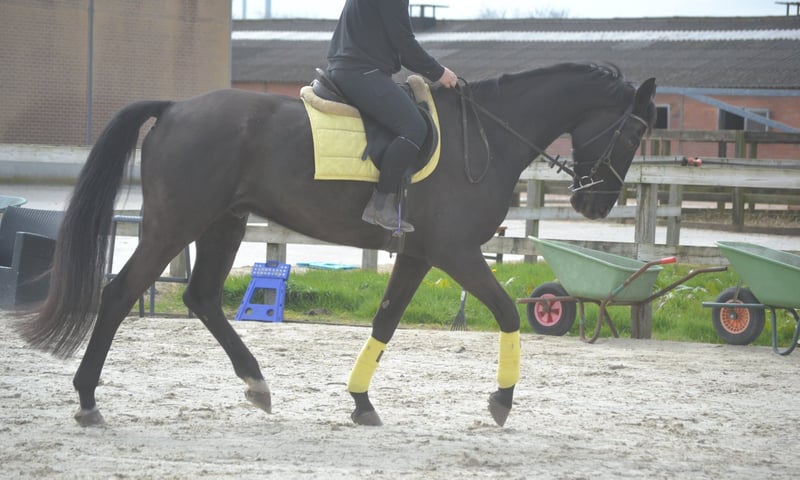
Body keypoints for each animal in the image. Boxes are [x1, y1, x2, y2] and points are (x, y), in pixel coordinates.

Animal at [18, 62, 656, 428]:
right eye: (635, 131)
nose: (597, 205)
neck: (488, 136)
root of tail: (175, 108)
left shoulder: (419, 254)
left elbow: (385, 321)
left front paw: (361, 403)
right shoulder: (455, 253)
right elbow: (505, 311)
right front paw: (501, 402)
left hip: (223, 223)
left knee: (201, 298)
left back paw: (256, 383)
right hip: (175, 225)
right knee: (119, 294)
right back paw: (87, 400)